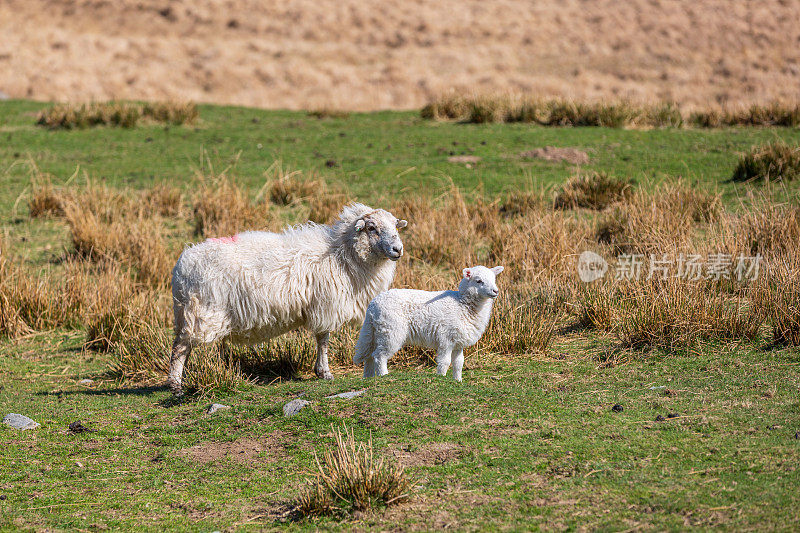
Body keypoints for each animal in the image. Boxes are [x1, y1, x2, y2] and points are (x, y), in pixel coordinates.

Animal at [169, 202, 406, 392]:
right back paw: (176, 385)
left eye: (395, 226)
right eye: (372, 228)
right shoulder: (325, 305)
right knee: (181, 347)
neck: (343, 254)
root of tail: (181, 267)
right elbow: (323, 340)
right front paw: (324, 372)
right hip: (202, 312)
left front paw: (321, 370)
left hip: (187, 312)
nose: (398, 249)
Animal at [354, 264, 504, 380]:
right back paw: (384, 375)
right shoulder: (446, 339)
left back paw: (368, 377)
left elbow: (458, 363)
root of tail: (373, 304)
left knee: (369, 355)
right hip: (390, 330)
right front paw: (441, 377)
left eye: (494, 279)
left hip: (376, 331)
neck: (462, 304)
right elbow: (445, 362)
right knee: (379, 356)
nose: (495, 291)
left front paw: (458, 380)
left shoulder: (458, 342)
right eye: (478, 281)